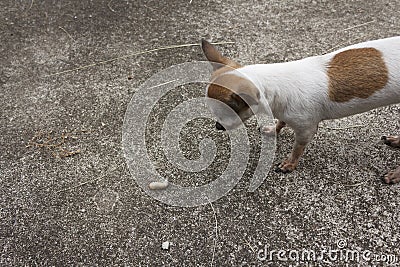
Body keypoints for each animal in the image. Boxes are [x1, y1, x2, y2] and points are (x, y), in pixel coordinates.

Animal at [202, 37, 400, 184]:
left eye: (226, 114)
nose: (218, 127)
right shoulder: (285, 113)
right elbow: (281, 122)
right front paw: (272, 129)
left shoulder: (306, 130)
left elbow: (297, 149)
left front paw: (289, 164)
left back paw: (394, 175)